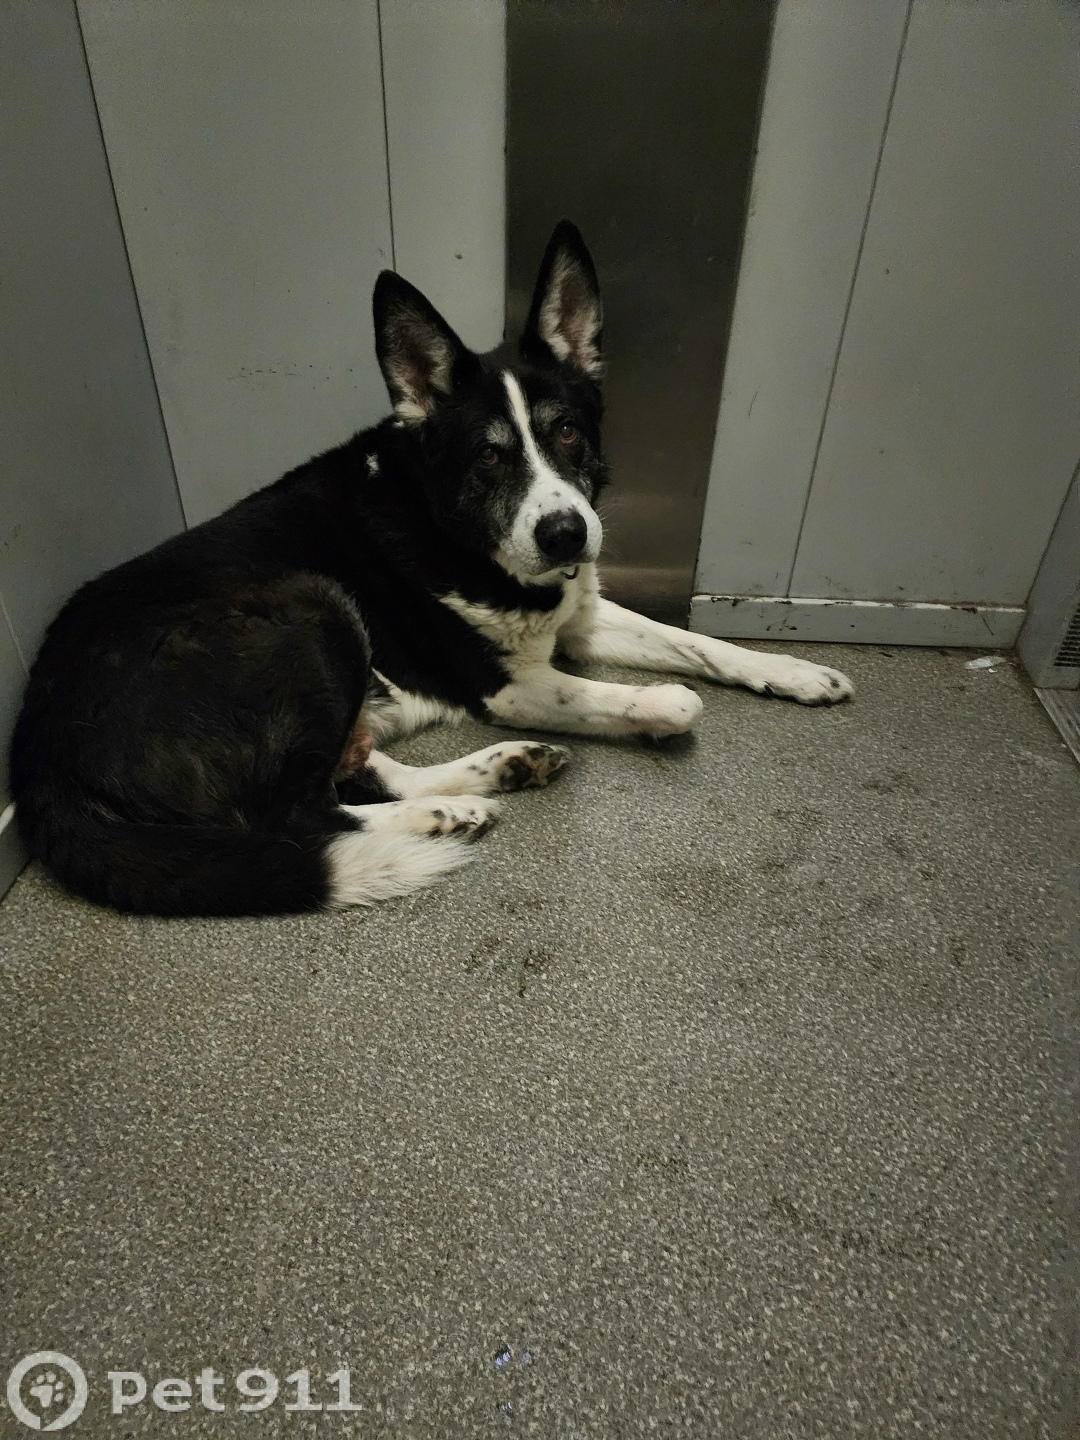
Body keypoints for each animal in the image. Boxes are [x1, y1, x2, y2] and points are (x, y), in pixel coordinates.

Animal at [10, 221, 853, 916]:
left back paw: (493, 777)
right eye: (488, 455)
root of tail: (37, 758)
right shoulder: (510, 686)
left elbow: (700, 645)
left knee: (357, 775)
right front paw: (656, 710)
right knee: (301, 816)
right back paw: (436, 817)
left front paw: (795, 672)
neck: (456, 531)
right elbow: (673, 699)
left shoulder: (579, 614)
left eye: (568, 433)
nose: (566, 535)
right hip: (313, 606)